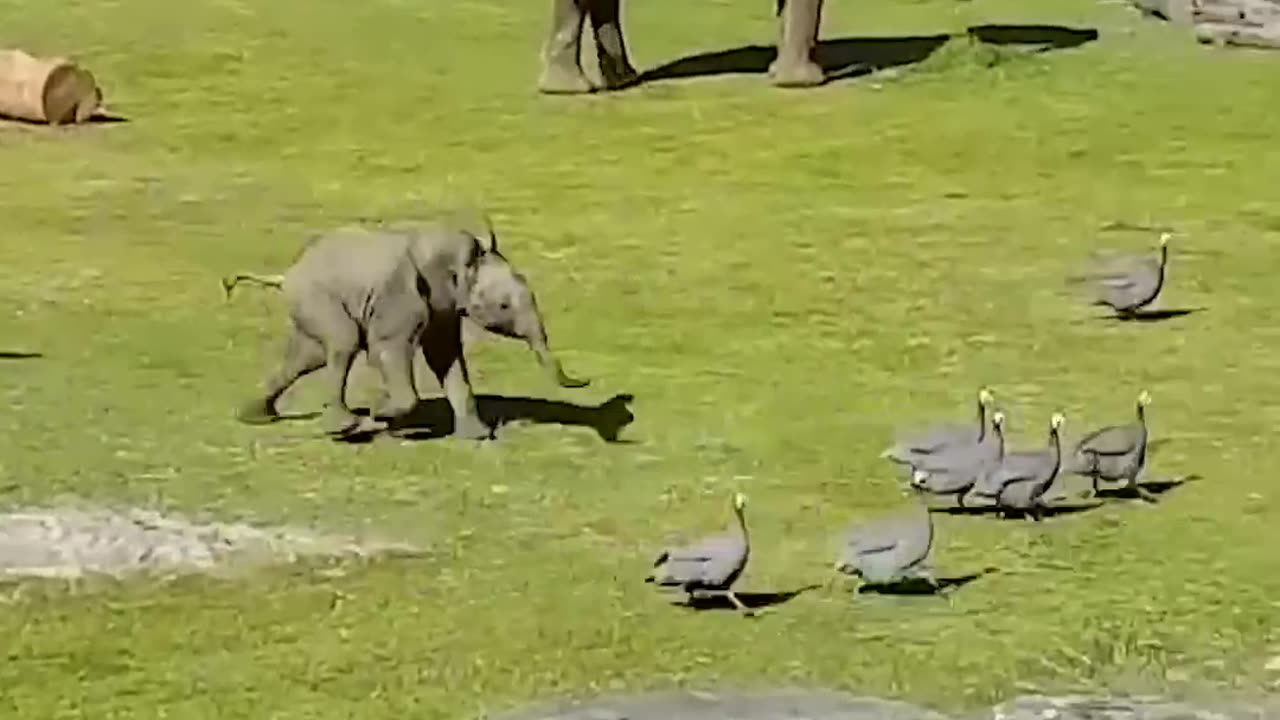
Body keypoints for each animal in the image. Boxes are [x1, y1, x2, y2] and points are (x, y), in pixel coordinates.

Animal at [227, 219, 586, 435]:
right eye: (504, 307)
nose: (584, 380)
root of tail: (286, 273)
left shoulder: (443, 307)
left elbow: (445, 356)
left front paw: (478, 438)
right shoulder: (399, 296)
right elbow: (388, 349)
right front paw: (382, 414)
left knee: (308, 356)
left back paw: (255, 417)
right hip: (315, 296)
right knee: (342, 343)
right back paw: (346, 426)